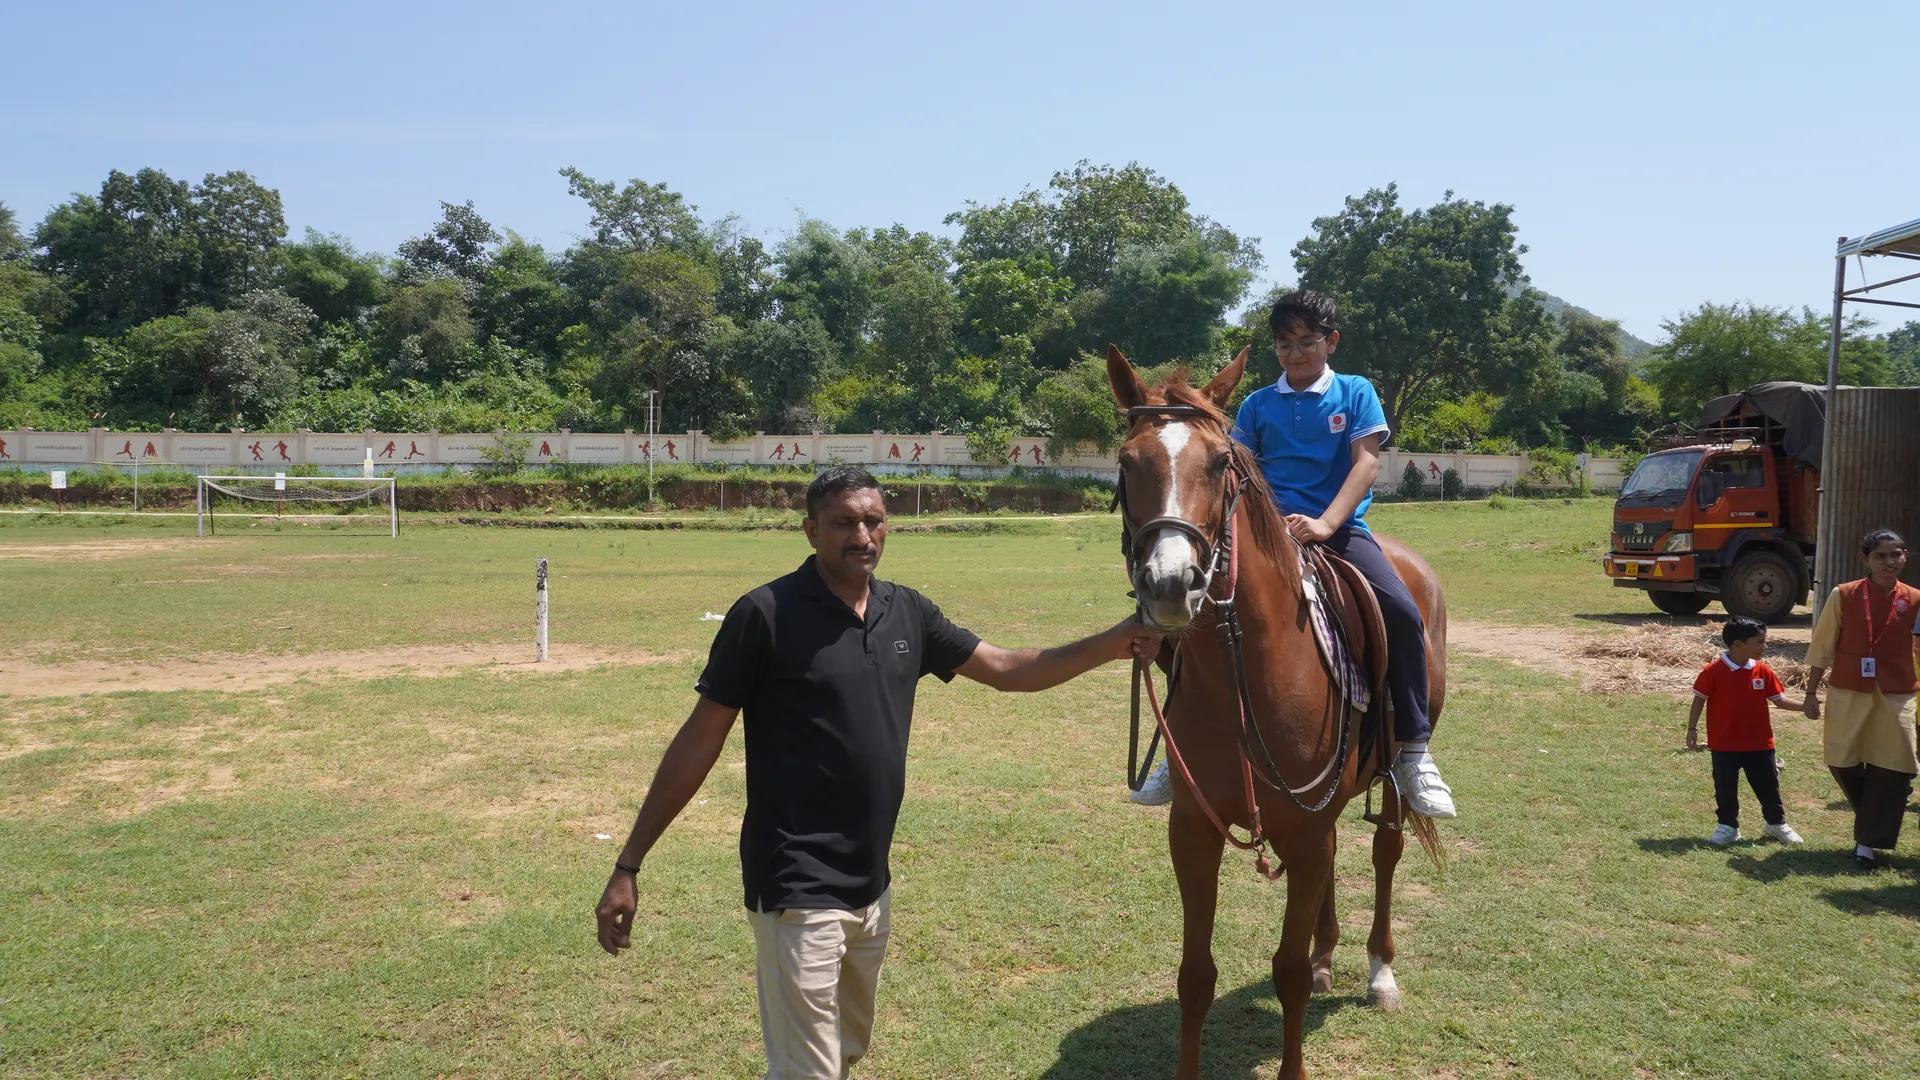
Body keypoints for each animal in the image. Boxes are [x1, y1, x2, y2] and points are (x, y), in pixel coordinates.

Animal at [1107, 344, 1446, 1080]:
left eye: (1219, 464)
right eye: (1126, 461)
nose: (1171, 583)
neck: (1248, 673)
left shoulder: (1306, 831)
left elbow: (1286, 975)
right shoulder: (1195, 831)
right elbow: (1194, 977)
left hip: (1387, 776)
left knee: (1386, 850)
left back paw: (1378, 970)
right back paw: (1327, 954)